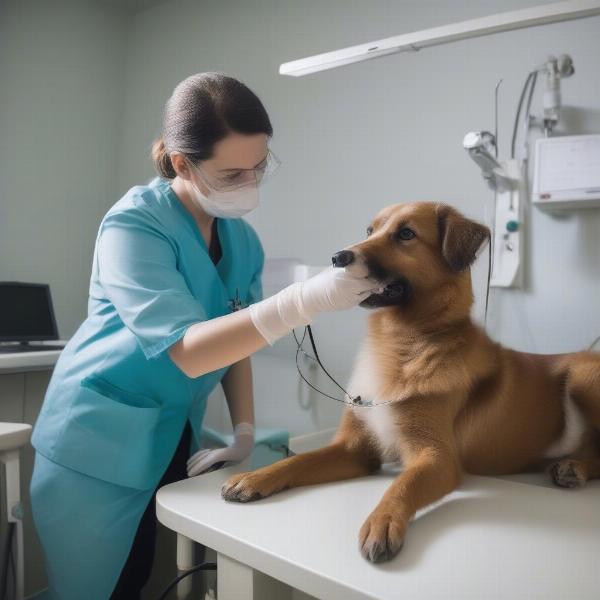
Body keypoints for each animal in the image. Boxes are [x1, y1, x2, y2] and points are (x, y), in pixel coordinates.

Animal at [221, 202, 600, 564]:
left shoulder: (436, 458)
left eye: (405, 234)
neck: (405, 341)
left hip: (582, 377)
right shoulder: (354, 451)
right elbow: (298, 461)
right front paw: (255, 477)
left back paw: (575, 468)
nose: (337, 258)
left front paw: (382, 521)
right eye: (370, 231)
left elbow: (403, 483)